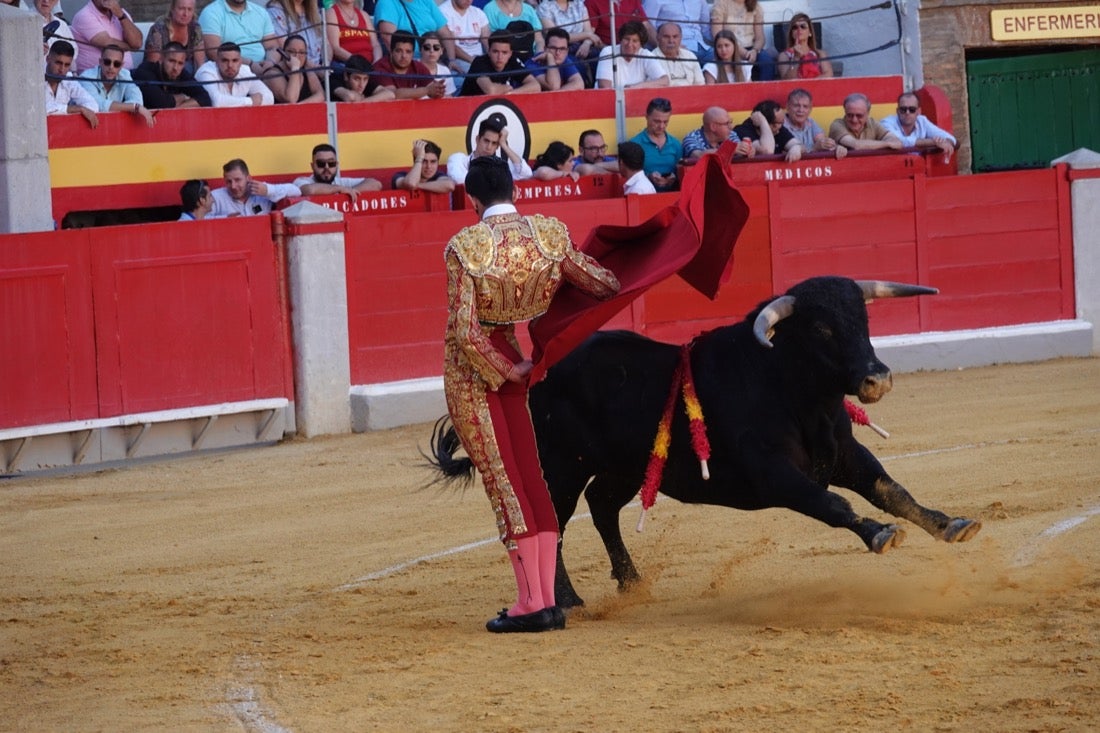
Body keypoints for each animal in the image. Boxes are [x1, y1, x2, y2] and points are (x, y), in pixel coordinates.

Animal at [426, 274, 981, 603]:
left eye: (862, 319)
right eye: (821, 329)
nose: (876, 378)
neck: (794, 393)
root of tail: (532, 375)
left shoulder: (845, 454)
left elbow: (891, 489)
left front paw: (951, 525)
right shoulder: (774, 475)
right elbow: (832, 505)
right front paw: (881, 535)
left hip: (624, 467)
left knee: (602, 506)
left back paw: (632, 581)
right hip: (560, 466)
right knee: (555, 524)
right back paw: (568, 599)